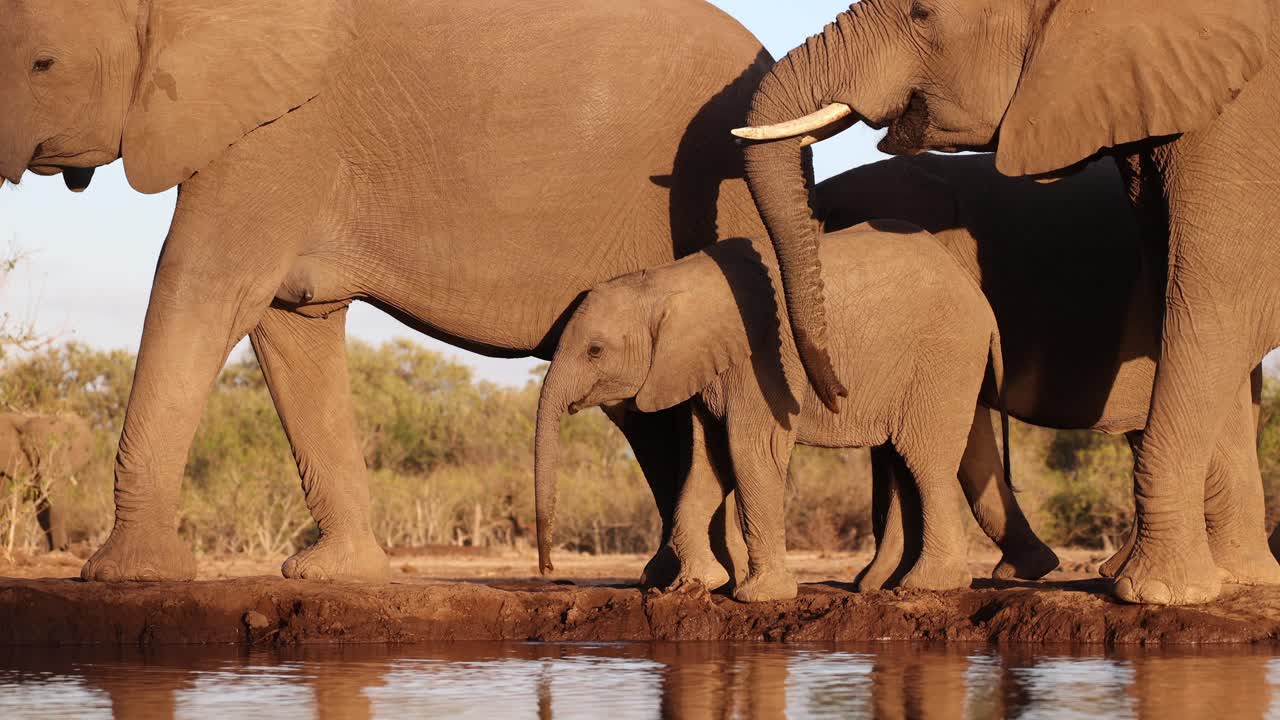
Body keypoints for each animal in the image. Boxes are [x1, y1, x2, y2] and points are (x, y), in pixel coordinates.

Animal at [534, 223, 1025, 601]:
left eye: (595, 351)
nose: (548, 568)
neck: (670, 280)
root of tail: (981, 302)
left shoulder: (764, 363)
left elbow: (750, 454)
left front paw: (759, 596)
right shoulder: (702, 371)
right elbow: (708, 464)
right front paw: (697, 584)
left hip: (943, 359)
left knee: (924, 459)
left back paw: (930, 585)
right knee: (905, 461)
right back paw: (880, 586)